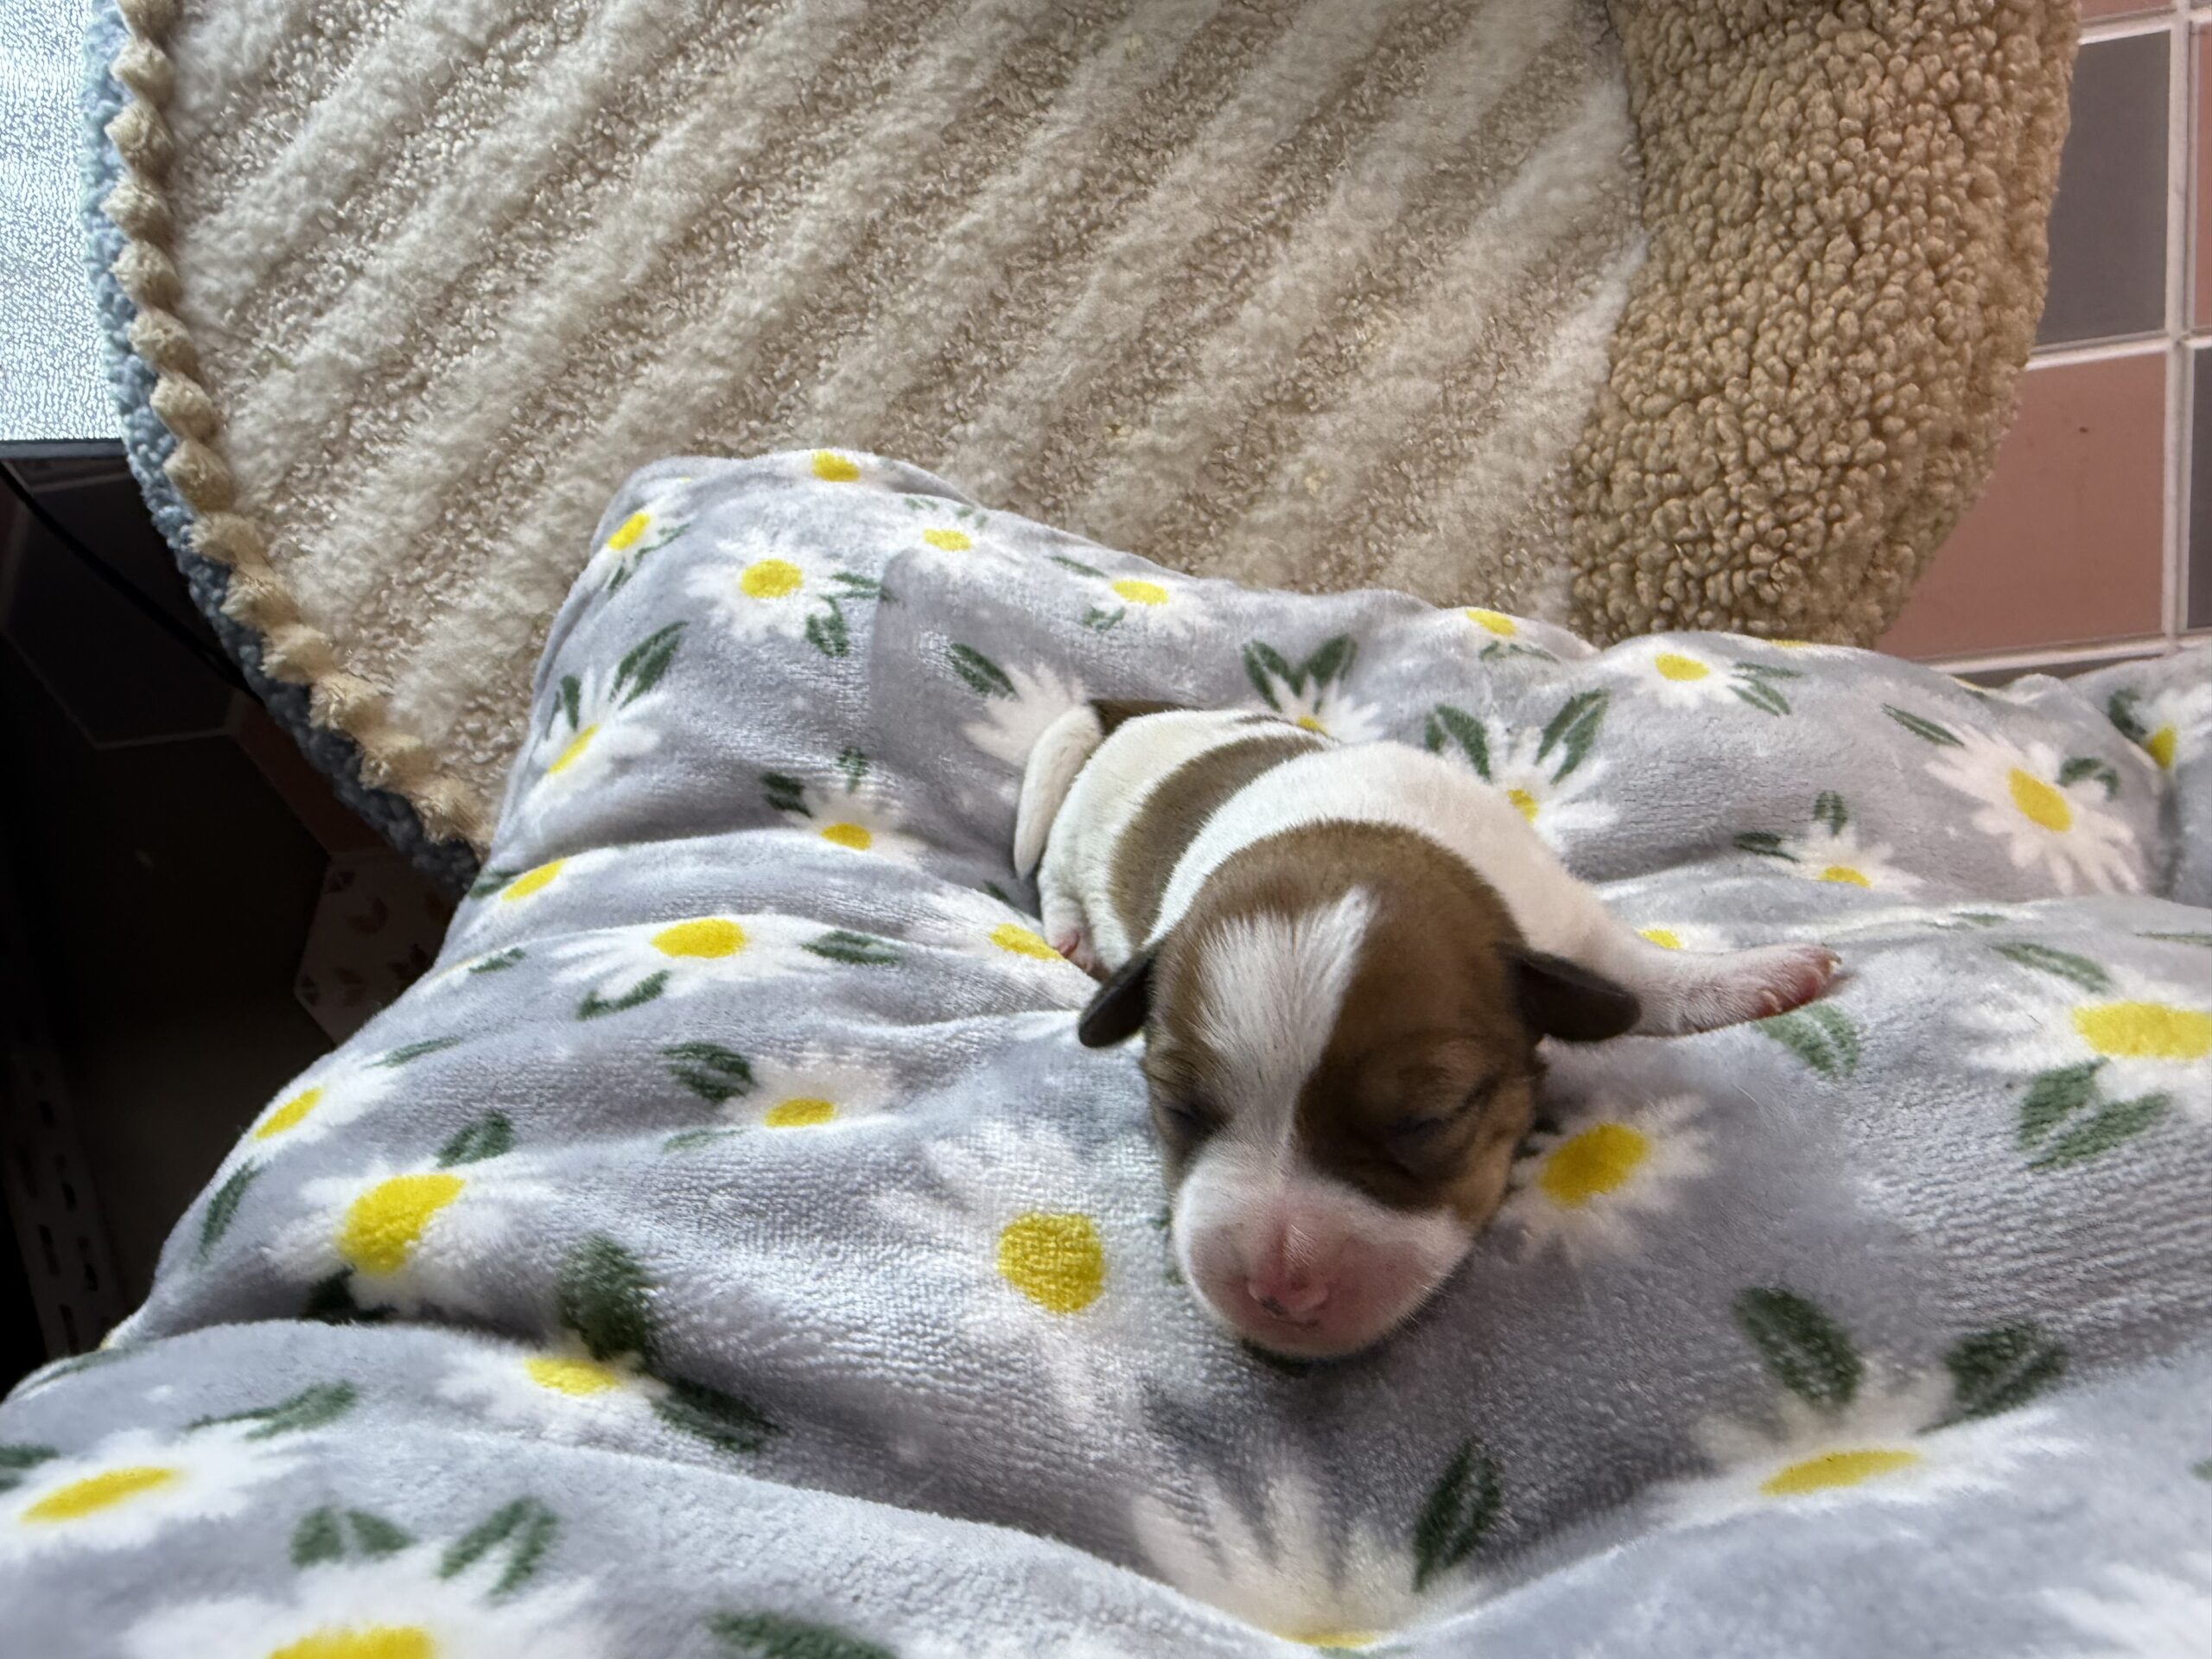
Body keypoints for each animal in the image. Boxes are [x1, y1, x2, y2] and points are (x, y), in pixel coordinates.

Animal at [1014, 702, 1839, 1358]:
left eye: (1428, 1120)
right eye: (1179, 1109)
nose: (1280, 1292)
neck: (1349, 829)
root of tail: (1142, 710)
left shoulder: (1562, 917)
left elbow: (1636, 975)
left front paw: (1753, 974)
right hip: (1076, 833)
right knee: (1051, 874)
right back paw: (1071, 934)